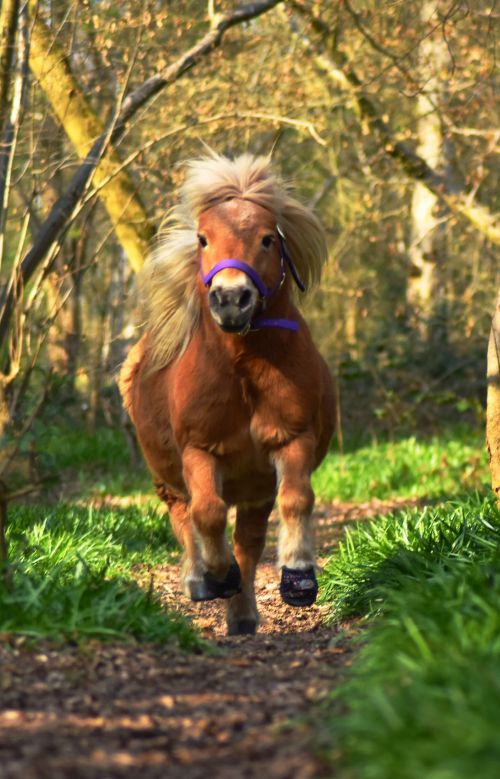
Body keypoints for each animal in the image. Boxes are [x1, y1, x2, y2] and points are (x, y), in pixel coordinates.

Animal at [119, 152, 335, 636]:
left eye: (268, 239)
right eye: (203, 238)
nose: (232, 298)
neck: (243, 372)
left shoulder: (291, 440)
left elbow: (297, 500)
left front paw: (298, 577)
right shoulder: (199, 450)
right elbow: (207, 513)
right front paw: (218, 576)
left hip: (254, 488)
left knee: (249, 542)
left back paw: (242, 615)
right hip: (166, 475)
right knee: (183, 516)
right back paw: (201, 580)